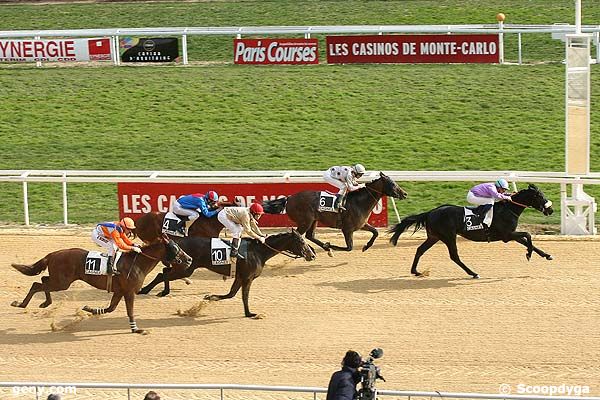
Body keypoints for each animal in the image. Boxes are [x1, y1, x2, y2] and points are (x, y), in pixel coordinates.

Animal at [11, 236, 190, 332]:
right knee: (37, 284)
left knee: (41, 281)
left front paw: (88, 309)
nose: (189, 259)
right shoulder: (129, 291)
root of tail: (53, 254)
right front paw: (136, 329)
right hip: (62, 282)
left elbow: (110, 308)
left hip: (59, 281)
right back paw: (21, 304)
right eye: (176, 248)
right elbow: (129, 311)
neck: (137, 263)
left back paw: (44, 302)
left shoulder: (119, 291)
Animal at [139, 230, 316, 318]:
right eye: (301, 241)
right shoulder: (247, 277)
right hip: (186, 268)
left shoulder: (239, 277)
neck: (259, 251)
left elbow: (231, 294)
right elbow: (244, 296)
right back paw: (151, 290)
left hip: (182, 267)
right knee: (163, 274)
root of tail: (178, 242)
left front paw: (210, 297)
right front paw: (249, 313)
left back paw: (156, 290)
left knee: (163, 272)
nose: (312, 255)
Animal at [262, 172, 408, 253]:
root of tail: (289, 198)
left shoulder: (361, 225)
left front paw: (366, 246)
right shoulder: (347, 229)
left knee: (310, 236)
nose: (405, 194)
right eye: (392, 184)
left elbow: (375, 232)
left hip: (313, 220)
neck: (359, 203)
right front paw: (330, 245)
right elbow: (349, 248)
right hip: (305, 221)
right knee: (299, 235)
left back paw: (323, 248)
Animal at [390, 184, 552, 278]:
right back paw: (473, 273)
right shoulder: (507, 235)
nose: (550, 210)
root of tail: (430, 212)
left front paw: (547, 255)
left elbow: (529, 242)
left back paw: (415, 271)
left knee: (420, 250)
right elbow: (528, 235)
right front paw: (528, 254)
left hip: (434, 237)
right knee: (454, 256)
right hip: (448, 236)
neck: (509, 209)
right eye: (540, 196)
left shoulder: (511, 234)